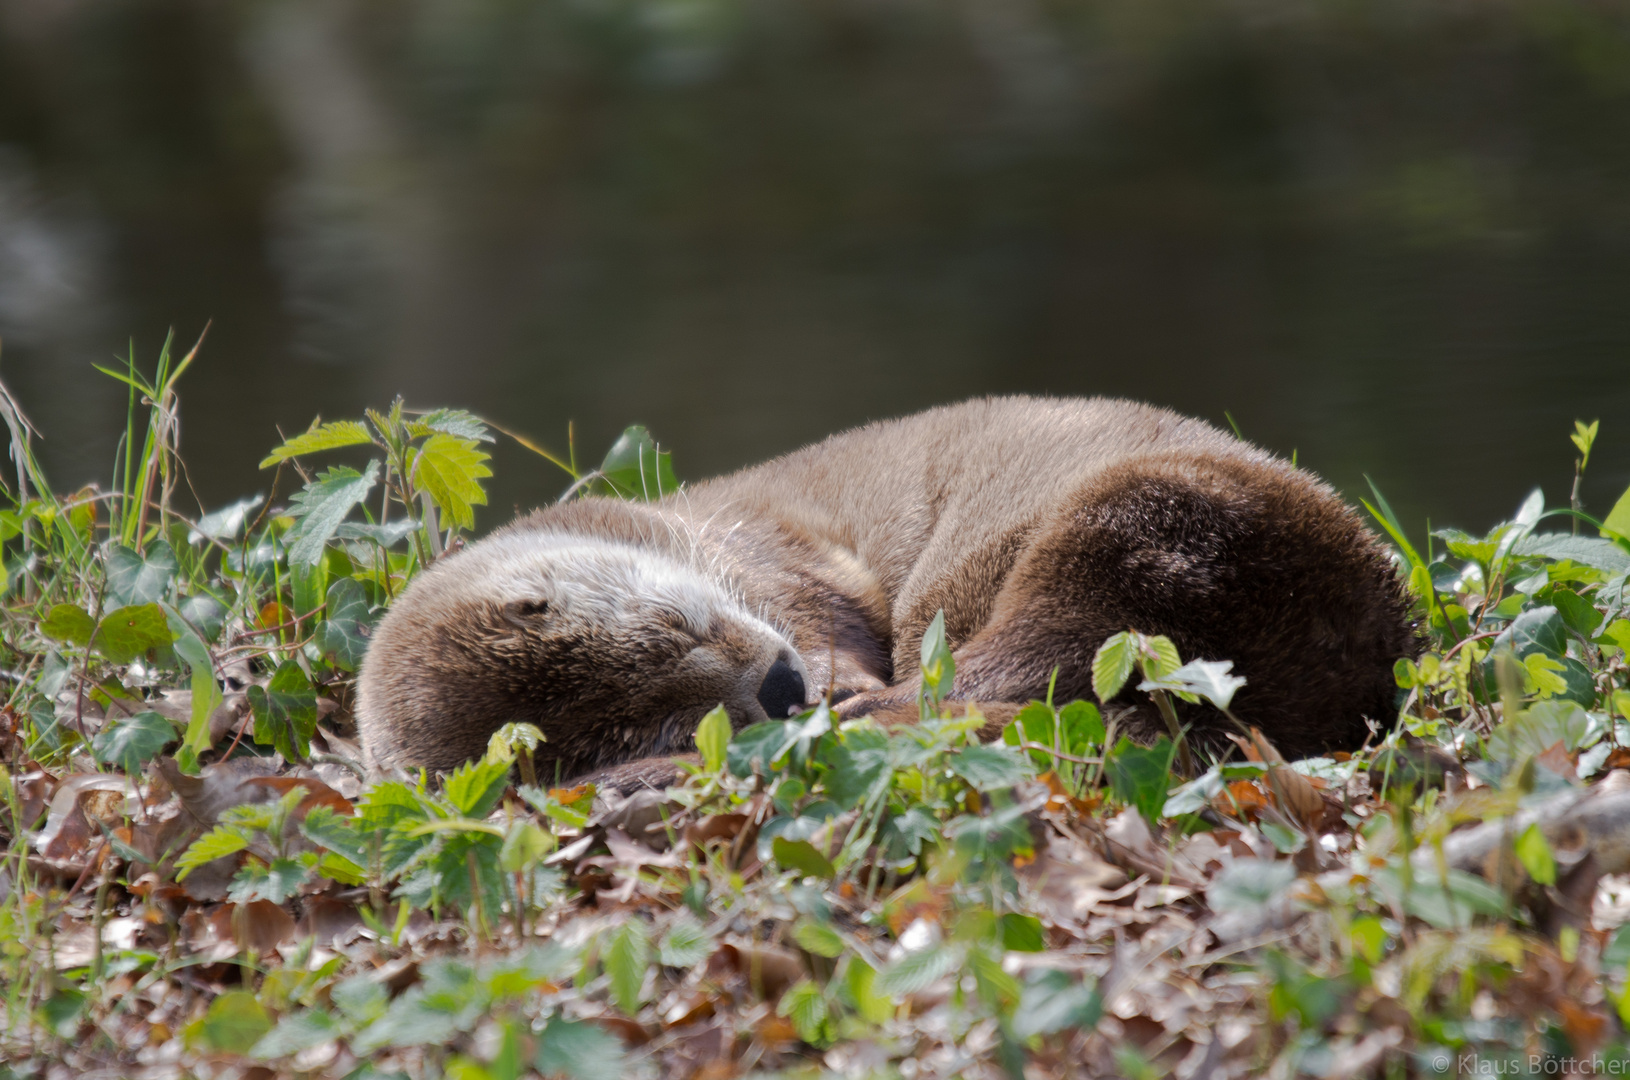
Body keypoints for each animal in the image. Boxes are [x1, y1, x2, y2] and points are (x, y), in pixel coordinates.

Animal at [353, 397, 1414, 785]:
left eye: (676, 622)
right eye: (660, 726)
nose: (780, 690)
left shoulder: (773, 551)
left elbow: (827, 613)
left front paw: (829, 680)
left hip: (1140, 521)